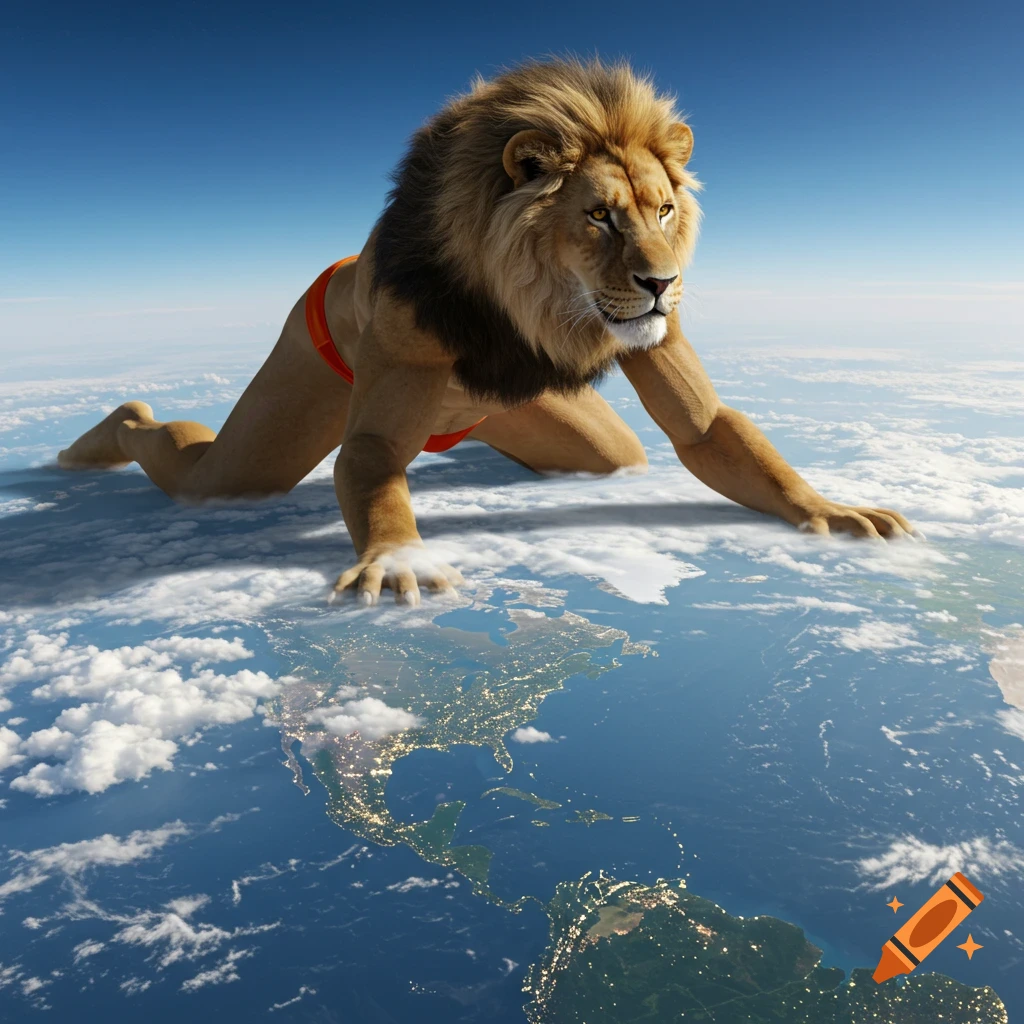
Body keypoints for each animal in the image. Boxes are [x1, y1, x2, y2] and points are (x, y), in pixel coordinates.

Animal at [57, 56, 914, 604]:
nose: (662, 282)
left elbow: (709, 430)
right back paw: (91, 442)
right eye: (600, 215)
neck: (535, 303)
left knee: (614, 452)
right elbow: (373, 456)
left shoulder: (657, 338)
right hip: (286, 402)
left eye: (665, 209)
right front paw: (398, 559)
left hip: (542, 423)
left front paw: (831, 511)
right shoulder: (403, 344)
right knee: (193, 464)